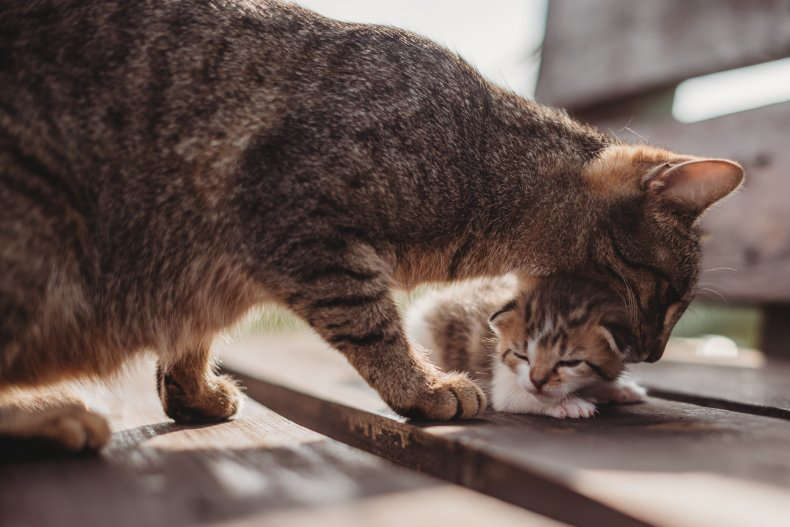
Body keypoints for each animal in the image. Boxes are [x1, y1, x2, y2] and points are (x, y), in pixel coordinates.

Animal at [0, 0, 744, 450]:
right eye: (668, 294)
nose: (654, 353)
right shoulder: (295, 215)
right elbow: (372, 323)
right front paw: (424, 387)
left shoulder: (214, 271)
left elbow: (189, 337)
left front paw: (195, 392)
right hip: (41, 223)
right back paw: (53, 416)